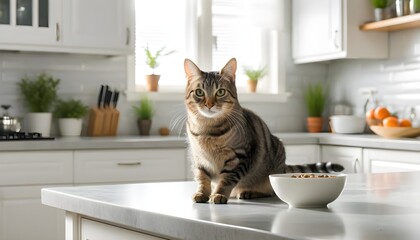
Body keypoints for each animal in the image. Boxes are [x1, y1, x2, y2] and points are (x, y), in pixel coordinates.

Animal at [185, 58, 344, 204]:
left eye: (220, 92)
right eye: (199, 92)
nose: (209, 104)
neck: (207, 130)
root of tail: (283, 168)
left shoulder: (239, 157)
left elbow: (226, 180)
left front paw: (219, 194)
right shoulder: (199, 160)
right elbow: (202, 179)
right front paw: (201, 193)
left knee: (269, 190)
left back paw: (248, 192)